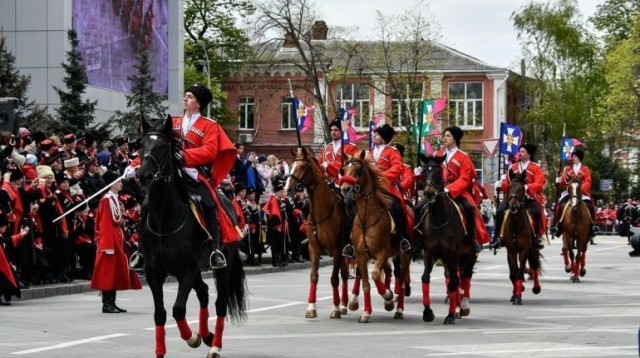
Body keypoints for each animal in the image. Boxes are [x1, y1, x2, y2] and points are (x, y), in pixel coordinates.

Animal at [138, 115, 248, 358]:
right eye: (141, 145)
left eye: (163, 147)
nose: (143, 175)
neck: (164, 218)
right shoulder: (154, 272)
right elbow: (160, 314)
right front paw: (161, 351)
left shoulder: (187, 269)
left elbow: (178, 309)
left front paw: (192, 338)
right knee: (204, 292)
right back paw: (207, 335)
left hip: (222, 263)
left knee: (220, 303)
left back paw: (214, 345)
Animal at [284, 147, 350, 318]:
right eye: (291, 165)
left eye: (303, 167)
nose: (287, 189)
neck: (323, 211)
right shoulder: (314, 248)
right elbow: (313, 276)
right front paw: (311, 308)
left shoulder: (336, 250)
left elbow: (333, 278)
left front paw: (335, 309)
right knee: (345, 273)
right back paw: (344, 304)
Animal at [338, 150, 412, 324]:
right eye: (343, 170)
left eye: (358, 170)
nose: (345, 189)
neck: (367, 218)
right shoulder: (360, 255)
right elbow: (365, 282)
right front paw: (366, 312)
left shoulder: (382, 252)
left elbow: (376, 274)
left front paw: (388, 296)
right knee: (389, 271)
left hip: (404, 254)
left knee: (402, 280)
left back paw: (398, 309)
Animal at [418, 154, 478, 324]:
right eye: (424, 172)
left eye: (439, 173)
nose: (429, 193)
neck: (439, 219)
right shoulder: (429, 253)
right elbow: (425, 278)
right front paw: (428, 312)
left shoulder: (452, 253)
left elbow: (454, 282)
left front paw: (450, 315)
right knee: (453, 276)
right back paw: (457, 306)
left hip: (469, 254)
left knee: (465, 276)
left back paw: (463, 306)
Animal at [502, 171, 544, 304]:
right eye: (510, 187)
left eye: (521, 189)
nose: (513, 206)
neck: (516, 224)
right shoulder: (511, 251)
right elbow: (513, 273)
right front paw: (516, 293)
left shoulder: (524, 250)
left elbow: (520, 273)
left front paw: (518, 297)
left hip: (533, 249)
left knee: (534, 266)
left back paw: (536, 288)